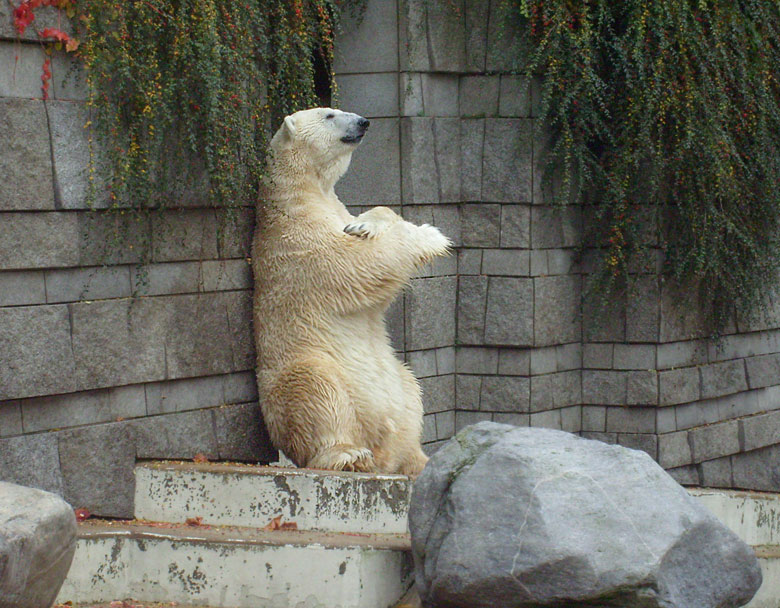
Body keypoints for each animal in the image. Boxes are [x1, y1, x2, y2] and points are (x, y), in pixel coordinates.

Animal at [253, 107, 450, 476]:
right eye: (329, 114)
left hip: (397, 382)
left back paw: (421, 459)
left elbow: (368, 220)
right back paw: (349, 455)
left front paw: (364, 224)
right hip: (305, 367)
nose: (363, 122)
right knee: (318, 391)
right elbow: (361, 263)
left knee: (410, 391)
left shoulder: (331, 209)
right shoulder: (299, 238)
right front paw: (429, 235)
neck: (305, 190)